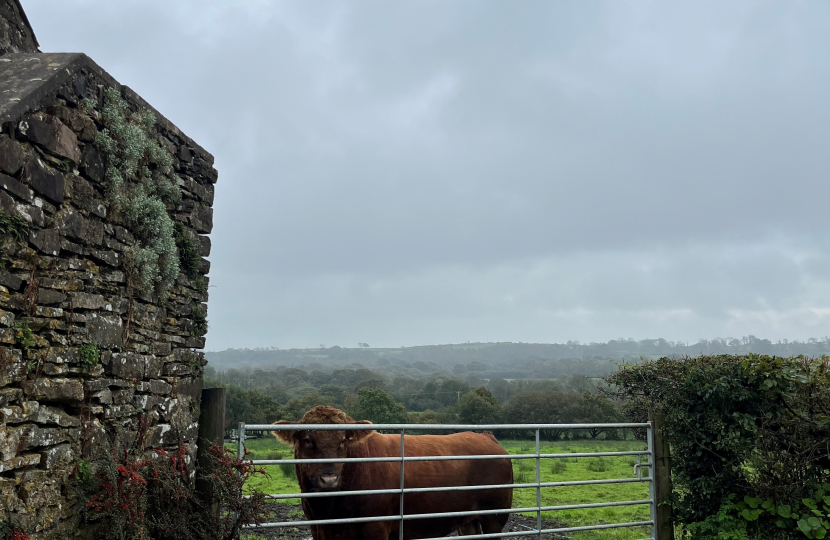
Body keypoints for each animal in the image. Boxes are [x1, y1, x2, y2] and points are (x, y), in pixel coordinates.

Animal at [274, 408, 512, 536]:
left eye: (343, 440)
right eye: (307, 439)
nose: (329, 478)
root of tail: (485, 436)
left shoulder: (375, 527)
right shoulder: (318, 528)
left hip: (495, 516)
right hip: (468, 520)